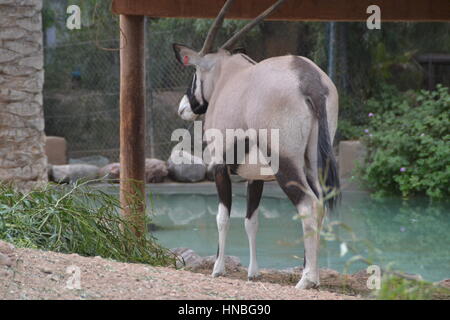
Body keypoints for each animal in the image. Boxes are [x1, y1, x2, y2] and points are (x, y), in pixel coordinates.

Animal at [172, 0, 338, 290]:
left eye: (194, 72)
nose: (184, 108)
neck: (228, 76)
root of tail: (309, 79)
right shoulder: (256, 176)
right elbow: (251, 221)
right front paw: (253, 273)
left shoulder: (219, 166)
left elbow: (223, 217)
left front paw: (218, 268)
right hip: (313, 163)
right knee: (319, 204)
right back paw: (312, 275)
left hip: (286, 163)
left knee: (308, 206)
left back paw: (306, 279)